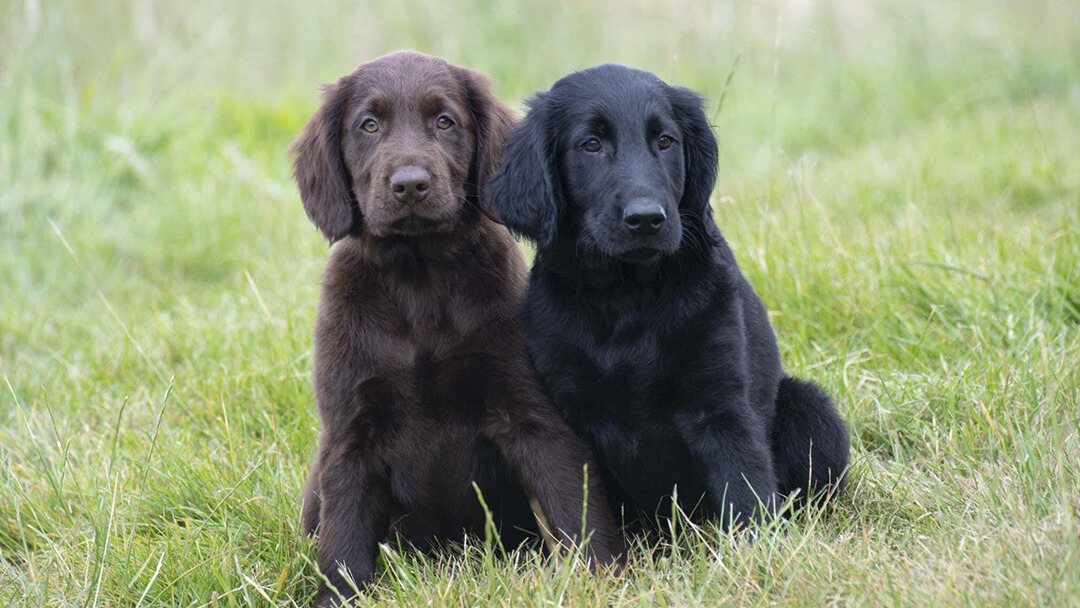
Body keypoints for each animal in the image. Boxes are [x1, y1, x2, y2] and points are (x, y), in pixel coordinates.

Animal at [291, 51, 622, 604]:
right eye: (369, 125)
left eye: (444, 121)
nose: (409, 184)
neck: (419, 278)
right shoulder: (351, 433)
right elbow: (344, 545)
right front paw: (337, 599)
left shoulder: (531, 415)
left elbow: (573, 509)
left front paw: (605, 581)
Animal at [490, 64, 851, 535]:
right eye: (591, 144)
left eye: (665, 141)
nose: (647, 218)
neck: (627, 297)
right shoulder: (569, 414)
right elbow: (581, 506)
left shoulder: (719, 408)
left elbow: (746, 493)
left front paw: (760, 551)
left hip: (811, 410)